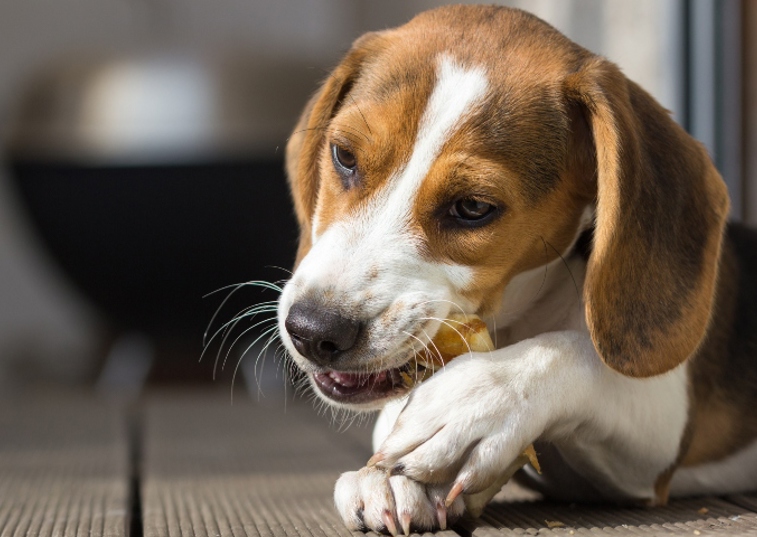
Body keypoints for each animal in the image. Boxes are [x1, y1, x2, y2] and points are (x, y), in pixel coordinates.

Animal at [276, 5, 756, 536]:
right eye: (344, 156)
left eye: (472, 207)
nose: (313, 330)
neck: (519, 316)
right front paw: (388, 476)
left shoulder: (658, 433)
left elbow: (575, 352)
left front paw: (471, 404)